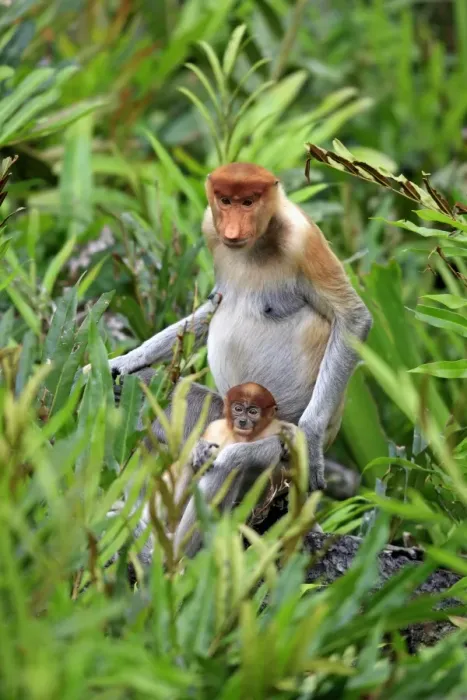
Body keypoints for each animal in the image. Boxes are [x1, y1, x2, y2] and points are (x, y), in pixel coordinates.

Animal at [106, 162, 372, 561]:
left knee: (231, 461)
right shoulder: (209, 227)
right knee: (144, 393)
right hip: (213, 416)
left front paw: (310, 442)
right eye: (225, 201)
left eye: (249, 201)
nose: (232, 229)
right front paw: (124, 361)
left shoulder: (303, 239)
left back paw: (169, 557)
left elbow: (353, 318)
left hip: (276, 467)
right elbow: (213, 305)